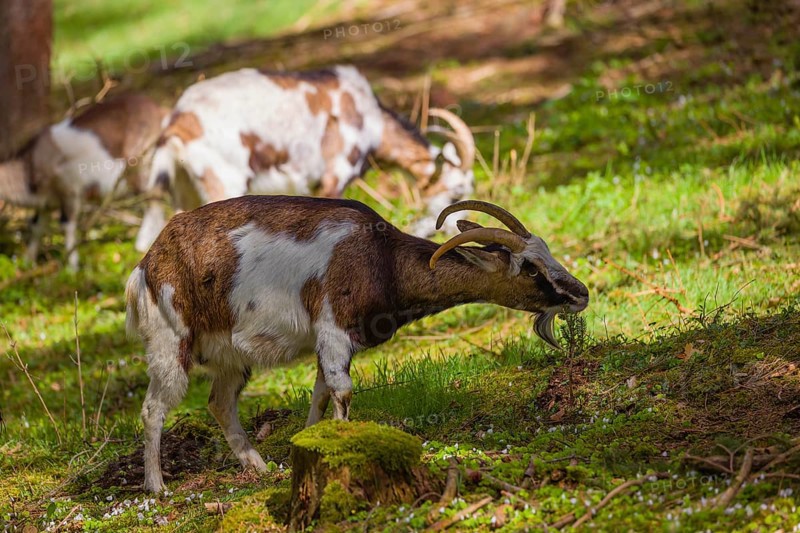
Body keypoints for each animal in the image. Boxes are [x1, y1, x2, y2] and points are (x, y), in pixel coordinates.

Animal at [0, 93, 168, 269]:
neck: (31, 164)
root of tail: (161, 112)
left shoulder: (70, 191)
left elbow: (67, 225)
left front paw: (71, 267)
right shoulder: (46, 202)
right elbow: (36, 226)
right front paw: (27, 264)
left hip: (142, 163)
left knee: (152, 198)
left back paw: (141, 245)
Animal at [125, 196, 589, 493]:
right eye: (530, 268)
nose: (580, 293)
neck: (384, 261)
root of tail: (146, 265)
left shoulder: (324, 343)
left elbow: (319, 394)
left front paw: (309, 442)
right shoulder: (333, 328)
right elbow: (343, 392)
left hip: (230, 356)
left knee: (220, 403)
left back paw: (259, 468)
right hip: (170, 341)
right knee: (153, 408)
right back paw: (156, 487)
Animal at [142, 65, 475, 249]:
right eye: (455, 193)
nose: (457, 232)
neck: (370, 117)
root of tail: (177, 124)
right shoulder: (334, 175)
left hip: (185, 191)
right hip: (224, 181)